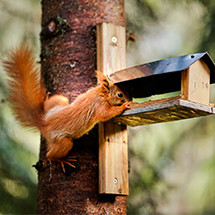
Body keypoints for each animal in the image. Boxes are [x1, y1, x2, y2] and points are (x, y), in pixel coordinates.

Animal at [2, 45, 132, 171]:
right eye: (120, 94)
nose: (129, 100)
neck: (101, 93)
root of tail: (44, 122)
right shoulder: (99, 105)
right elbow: (105, 114)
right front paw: (124, 106)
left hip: (61, 101)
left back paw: (46, 99)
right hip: (63, 142)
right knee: (51, 155)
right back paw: (63, 160)